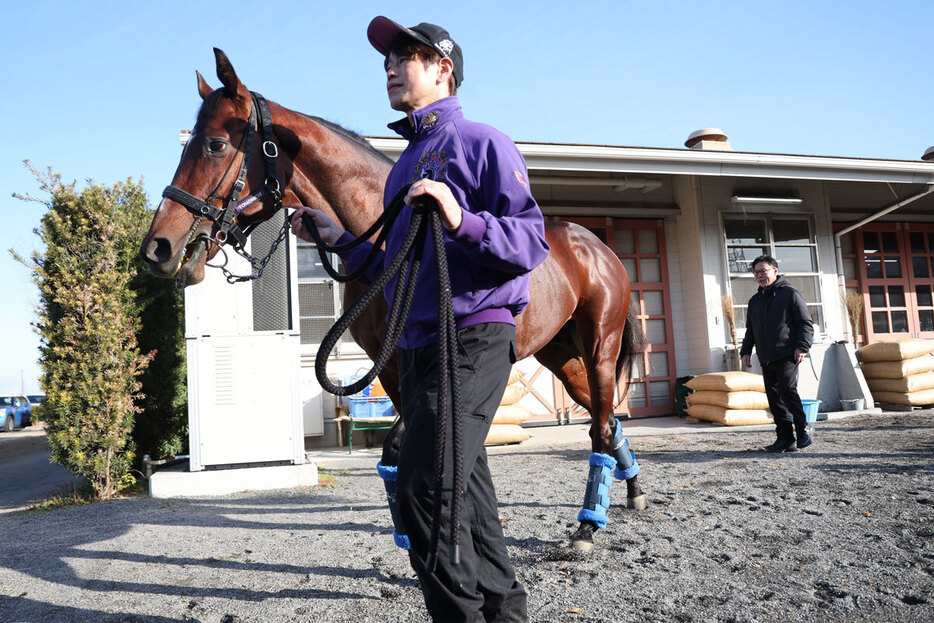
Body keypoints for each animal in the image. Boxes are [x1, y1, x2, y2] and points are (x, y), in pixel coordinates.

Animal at [143, 51, 648, 552]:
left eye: (214, 145)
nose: (157, 248)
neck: (389, 243)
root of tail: (598, 247)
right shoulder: (389, 367)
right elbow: (394, 455)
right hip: (560, 355)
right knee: (605, 419)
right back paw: (632, 493)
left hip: (599, 348)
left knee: (602, 425)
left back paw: (587, 527)